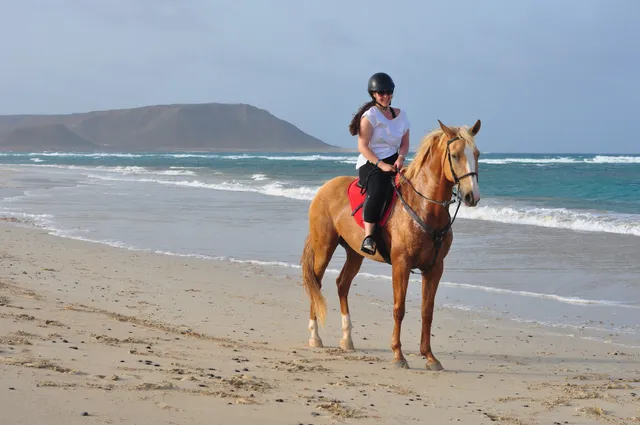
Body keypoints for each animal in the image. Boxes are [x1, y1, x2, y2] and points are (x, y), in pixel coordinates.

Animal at [300, 119, 481, 370]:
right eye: (454, 155)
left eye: (477, 154)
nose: (472, 196)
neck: (424, 207)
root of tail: (323, 189)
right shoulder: (401, 264)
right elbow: (399, 309)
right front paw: (398, 355)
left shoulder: (434, 268)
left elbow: (427, 311)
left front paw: (429, 357)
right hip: (324, 247)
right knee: (315, 283)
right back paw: (315, 337)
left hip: (354, 253)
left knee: (342, 285)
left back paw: (347, 339)